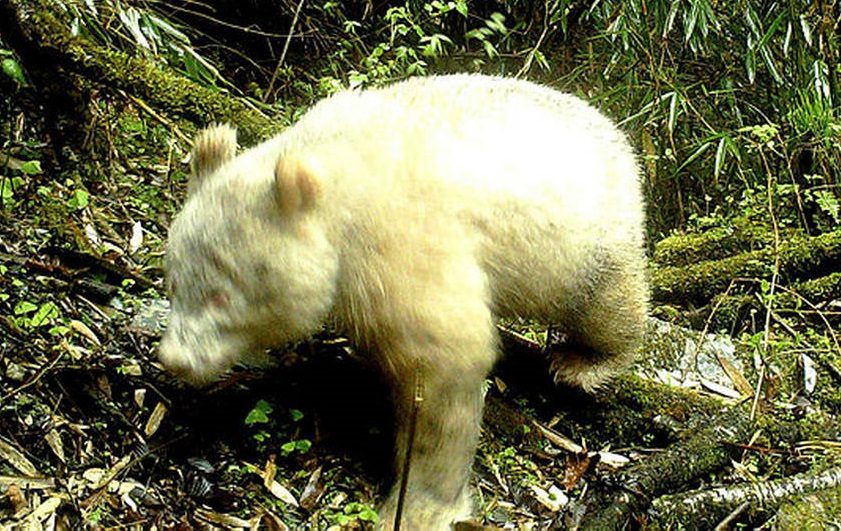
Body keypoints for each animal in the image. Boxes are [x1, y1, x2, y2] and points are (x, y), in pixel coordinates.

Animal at [162, 75, 648, 531]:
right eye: (173, 281)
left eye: (221, 295)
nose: (174, 360)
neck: (335, 178)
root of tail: (616, 134)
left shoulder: (399, 243)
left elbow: (444, 364)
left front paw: (420, 505)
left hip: (587, 239)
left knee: (606, 303)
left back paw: (584, 362)